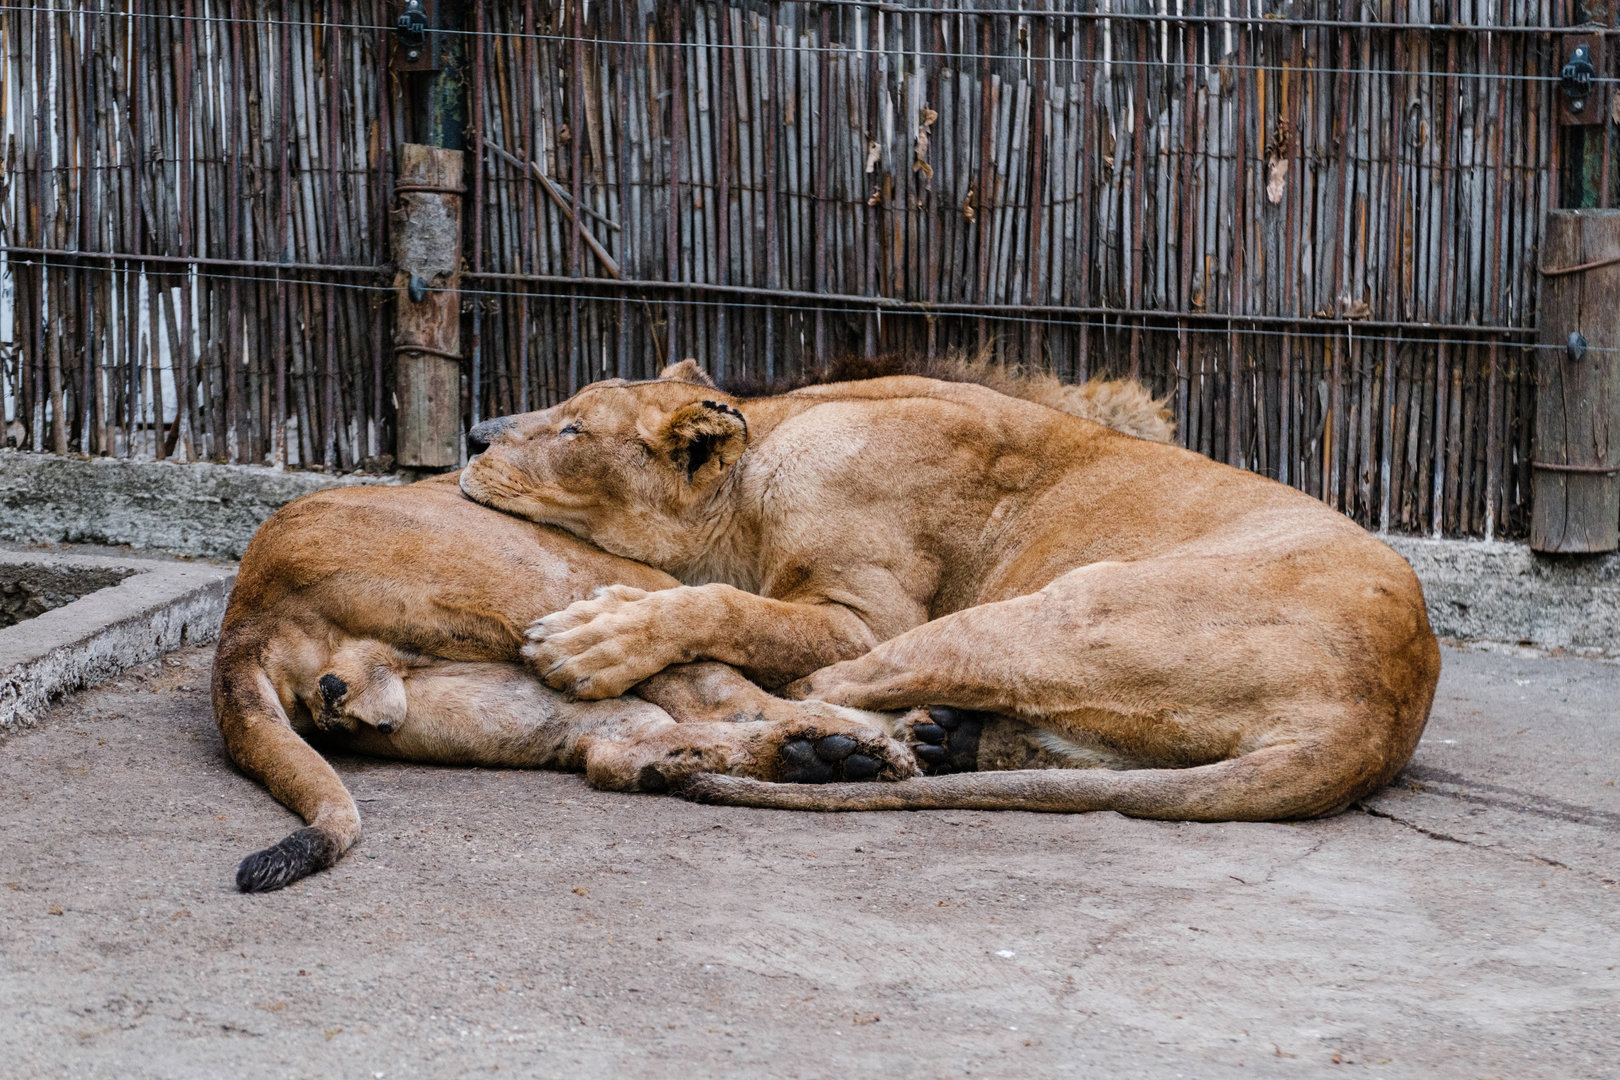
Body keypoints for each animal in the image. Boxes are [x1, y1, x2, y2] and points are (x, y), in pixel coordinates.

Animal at [462, 360, 1440, 820]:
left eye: (573, 430)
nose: (472, 431)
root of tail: (1374, 718)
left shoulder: (865, 615)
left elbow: (729, 609)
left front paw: (594, 640)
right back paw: (947, 741)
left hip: (1052, 609)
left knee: (821, 691)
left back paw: (840, 751)